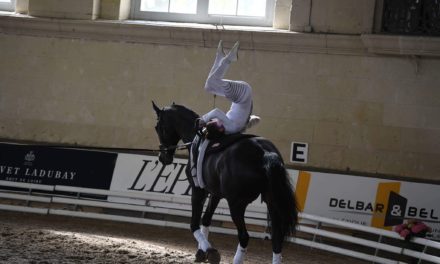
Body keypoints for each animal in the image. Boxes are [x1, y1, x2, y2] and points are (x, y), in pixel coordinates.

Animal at [152, 102, 300, 262]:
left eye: (157, 127)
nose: (163, 157)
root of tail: (265, 152)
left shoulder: (198, 190)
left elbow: (194, 224)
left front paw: (210, 251)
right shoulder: (215, 193)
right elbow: (206, 219)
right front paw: (201, 252)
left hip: (236, 205)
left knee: (244, 236)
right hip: (272, 202)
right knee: (277, 238)